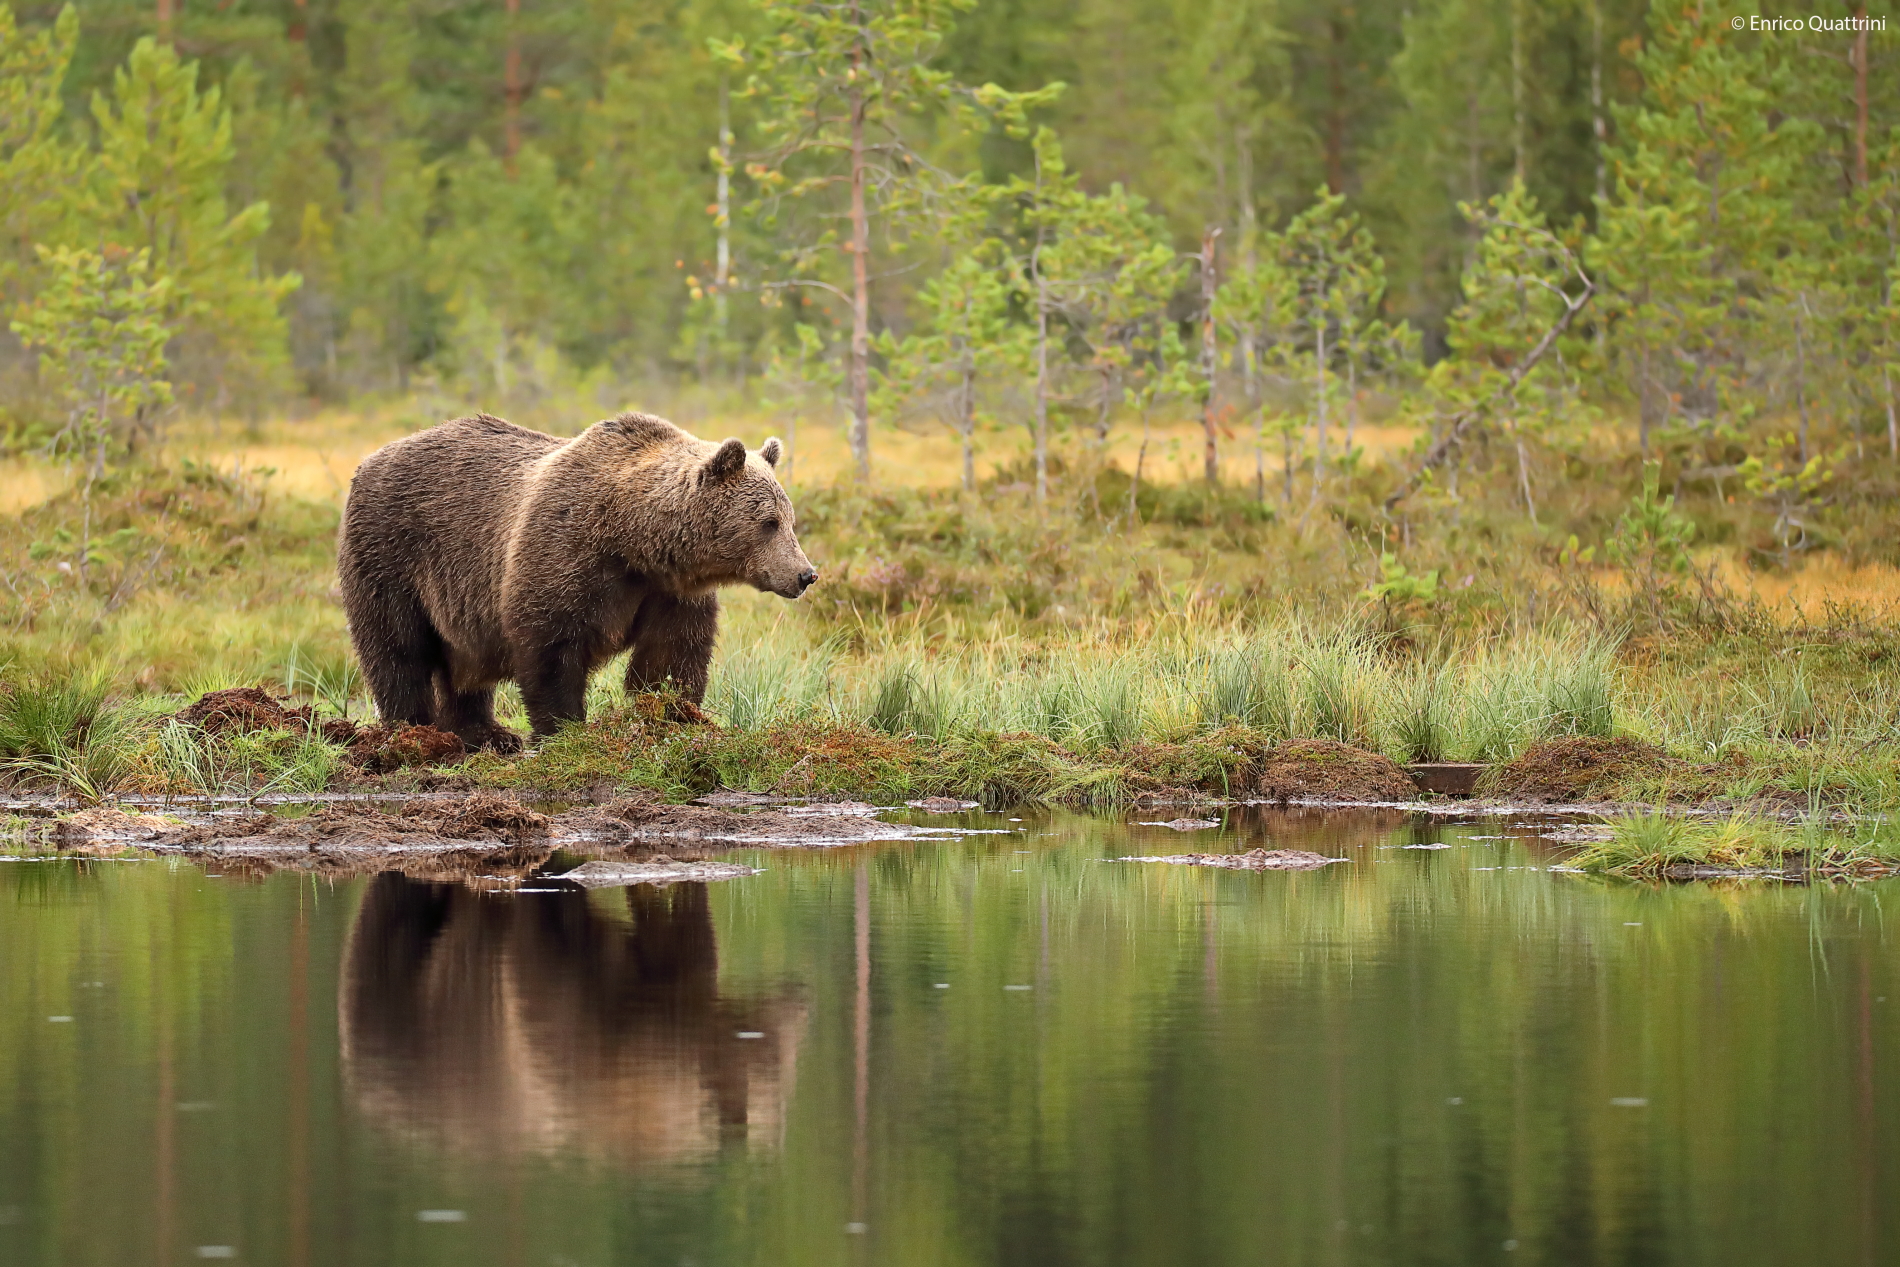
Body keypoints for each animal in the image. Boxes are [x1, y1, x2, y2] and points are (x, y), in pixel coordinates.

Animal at [336, 411, 816, 747]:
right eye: (769, 522)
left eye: (790, 519)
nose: (806, 574)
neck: (632, 539)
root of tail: (368, 459)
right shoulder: (564, 553)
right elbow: (551, 647)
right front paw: (563, 731)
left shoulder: (668, 591)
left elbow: (671, 656)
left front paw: (673, 716)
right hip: (392, 553)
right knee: (398, 648)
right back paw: (413, 731)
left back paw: (487, 734)